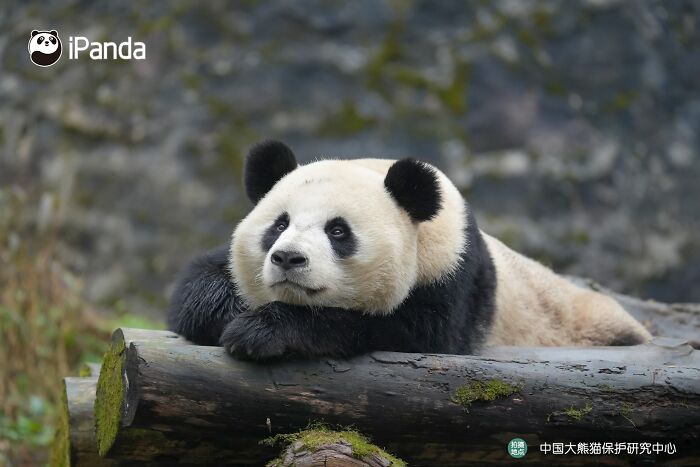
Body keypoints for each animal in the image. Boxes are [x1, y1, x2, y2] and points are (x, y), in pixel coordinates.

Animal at [168, 140, 651, 360]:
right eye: (280, 225)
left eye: (338, 231)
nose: (288, 258)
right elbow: (197, 288)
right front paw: (232, 312)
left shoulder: (452, 273)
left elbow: (400, 331)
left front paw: (261, 331)